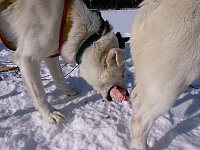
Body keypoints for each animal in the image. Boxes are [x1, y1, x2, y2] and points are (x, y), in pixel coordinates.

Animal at [0, 0, 128, 123]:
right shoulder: (27, 59)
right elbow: (39, 93)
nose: (127, 94)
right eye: (122, 75)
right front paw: (49, 114)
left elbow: (59, 77)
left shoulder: (51, 55)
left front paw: (68, 91)